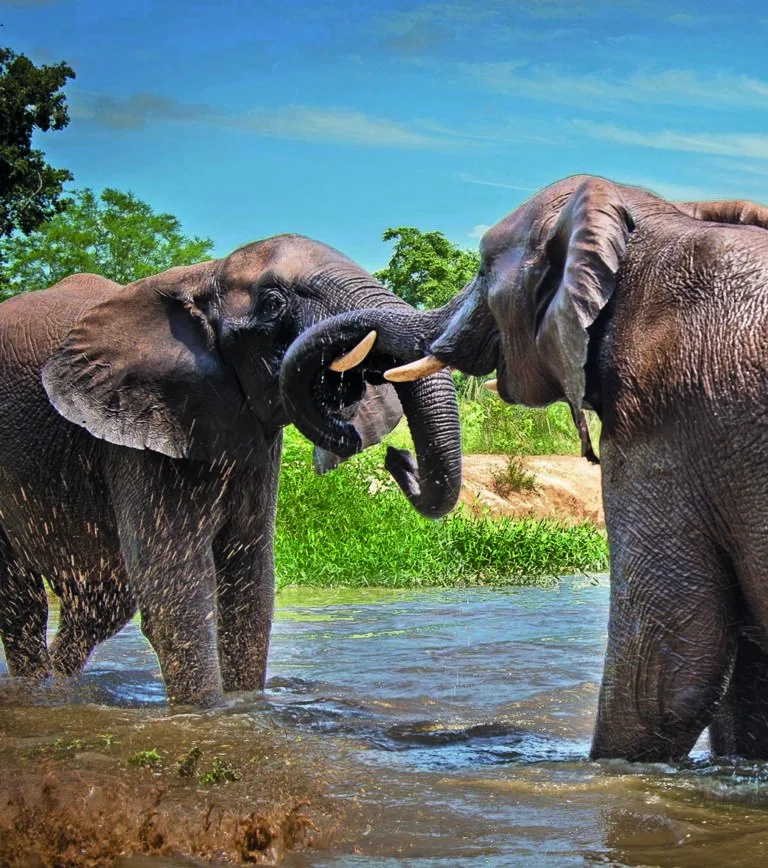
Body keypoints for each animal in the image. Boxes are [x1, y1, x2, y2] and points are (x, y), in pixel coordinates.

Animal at [0, 235, 462, 707]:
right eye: (273, 303)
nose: (397, 457)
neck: (202, 275)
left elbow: (250, 585)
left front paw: (248, 709)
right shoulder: (143, 427)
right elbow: (177, 593)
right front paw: (207, 715)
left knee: (100, 604)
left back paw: (61, 686)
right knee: (24, 604)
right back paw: (37, 690)